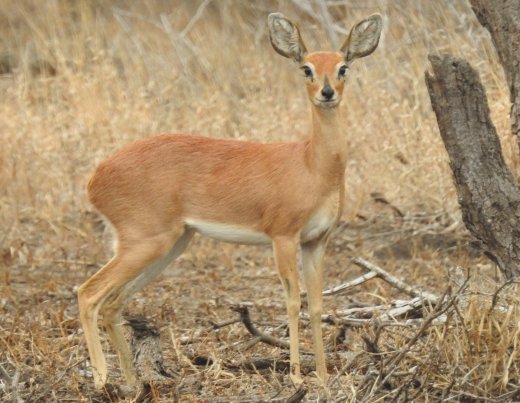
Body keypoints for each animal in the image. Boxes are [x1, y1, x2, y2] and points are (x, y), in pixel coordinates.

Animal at [77, 12, 382, 390]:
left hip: (170, 245)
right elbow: (292, 302)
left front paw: (324, 376)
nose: (327, 93)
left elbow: (316, 304)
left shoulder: (316, 241)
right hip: (145, 243)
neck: (311, 164)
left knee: (112, 303)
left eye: (343, 67)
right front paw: (296, 376)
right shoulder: (283, 237)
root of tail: (96, 177)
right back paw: (102, 379)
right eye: (307, 68)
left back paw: (133, 382)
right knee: (88, 293)